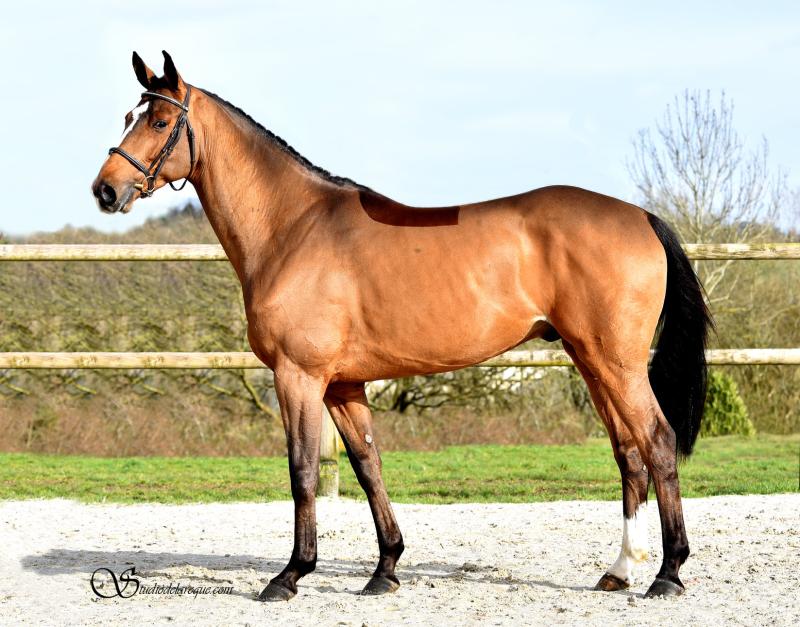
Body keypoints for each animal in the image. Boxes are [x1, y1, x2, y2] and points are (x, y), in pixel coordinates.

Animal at [92, 51, 712, 601]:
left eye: (160, 120)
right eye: (127, 117)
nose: (105, 190)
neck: (292, 227)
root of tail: (641, 216)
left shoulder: (299, 377)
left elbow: (302, 471)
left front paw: (290, 575)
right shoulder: (343, 385)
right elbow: (368, 466)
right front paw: (385, 568)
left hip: (615, 361)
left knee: (657, 443)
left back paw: (668, 574)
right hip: (590, 359)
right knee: (628, 452)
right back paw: (620, 570)